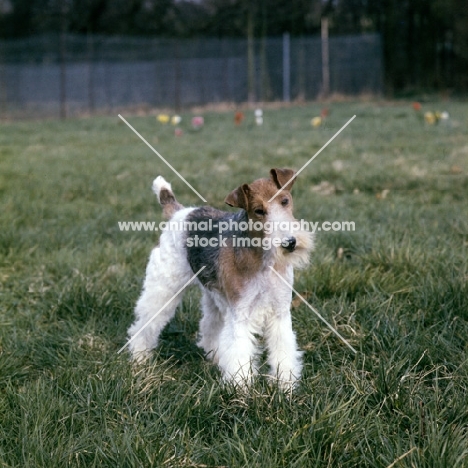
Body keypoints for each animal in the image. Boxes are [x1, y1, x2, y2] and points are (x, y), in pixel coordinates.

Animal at [127, 168, 314, 388]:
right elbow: (239, 352)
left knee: (209, 327)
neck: (263, 259)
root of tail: (180, 212)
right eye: (259, 211)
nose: (290, 243)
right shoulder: (241, 314)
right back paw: (139, 358)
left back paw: (216, 358)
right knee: (144, 324)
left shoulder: (280, 312)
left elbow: (283, 351)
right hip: (163, 287)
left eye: (285, 201)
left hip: (213, 294)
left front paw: (286, 386)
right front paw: (241, 389)